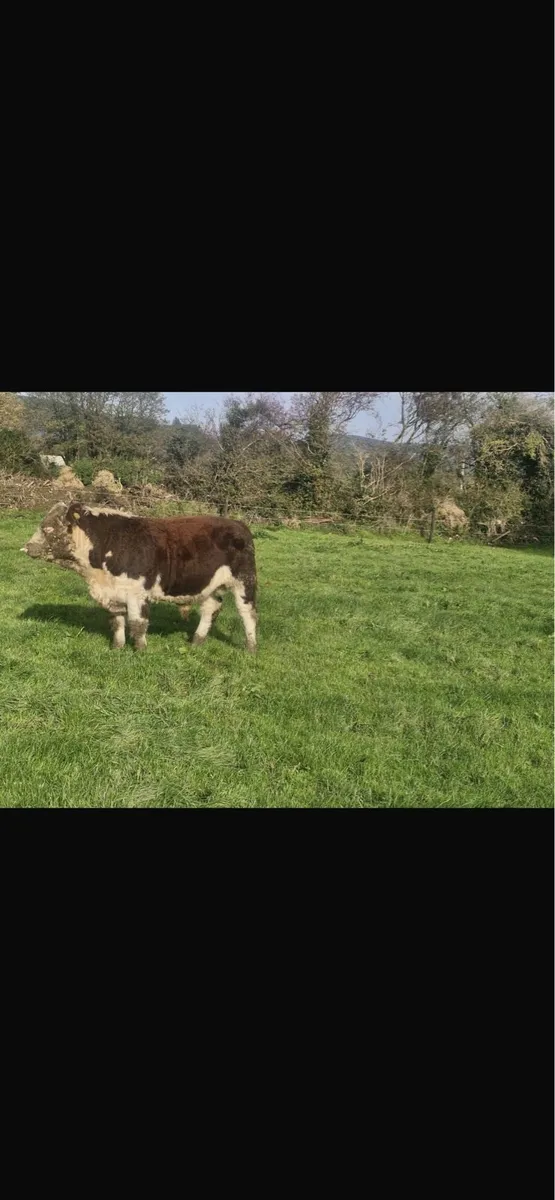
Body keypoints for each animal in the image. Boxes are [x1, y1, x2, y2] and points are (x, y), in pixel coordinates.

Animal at [22, 502, 258, 653]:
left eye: (47, 528)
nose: (28, 547)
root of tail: (238, 524)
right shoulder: (113, 594)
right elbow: (117, 622)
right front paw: (117, 649)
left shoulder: (136, 593)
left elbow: (138, 624)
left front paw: (141, 651)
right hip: (207, 586)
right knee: (211, 608)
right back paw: (196, 642)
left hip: (245, 582)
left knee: (248, 614)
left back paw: (250, 648)